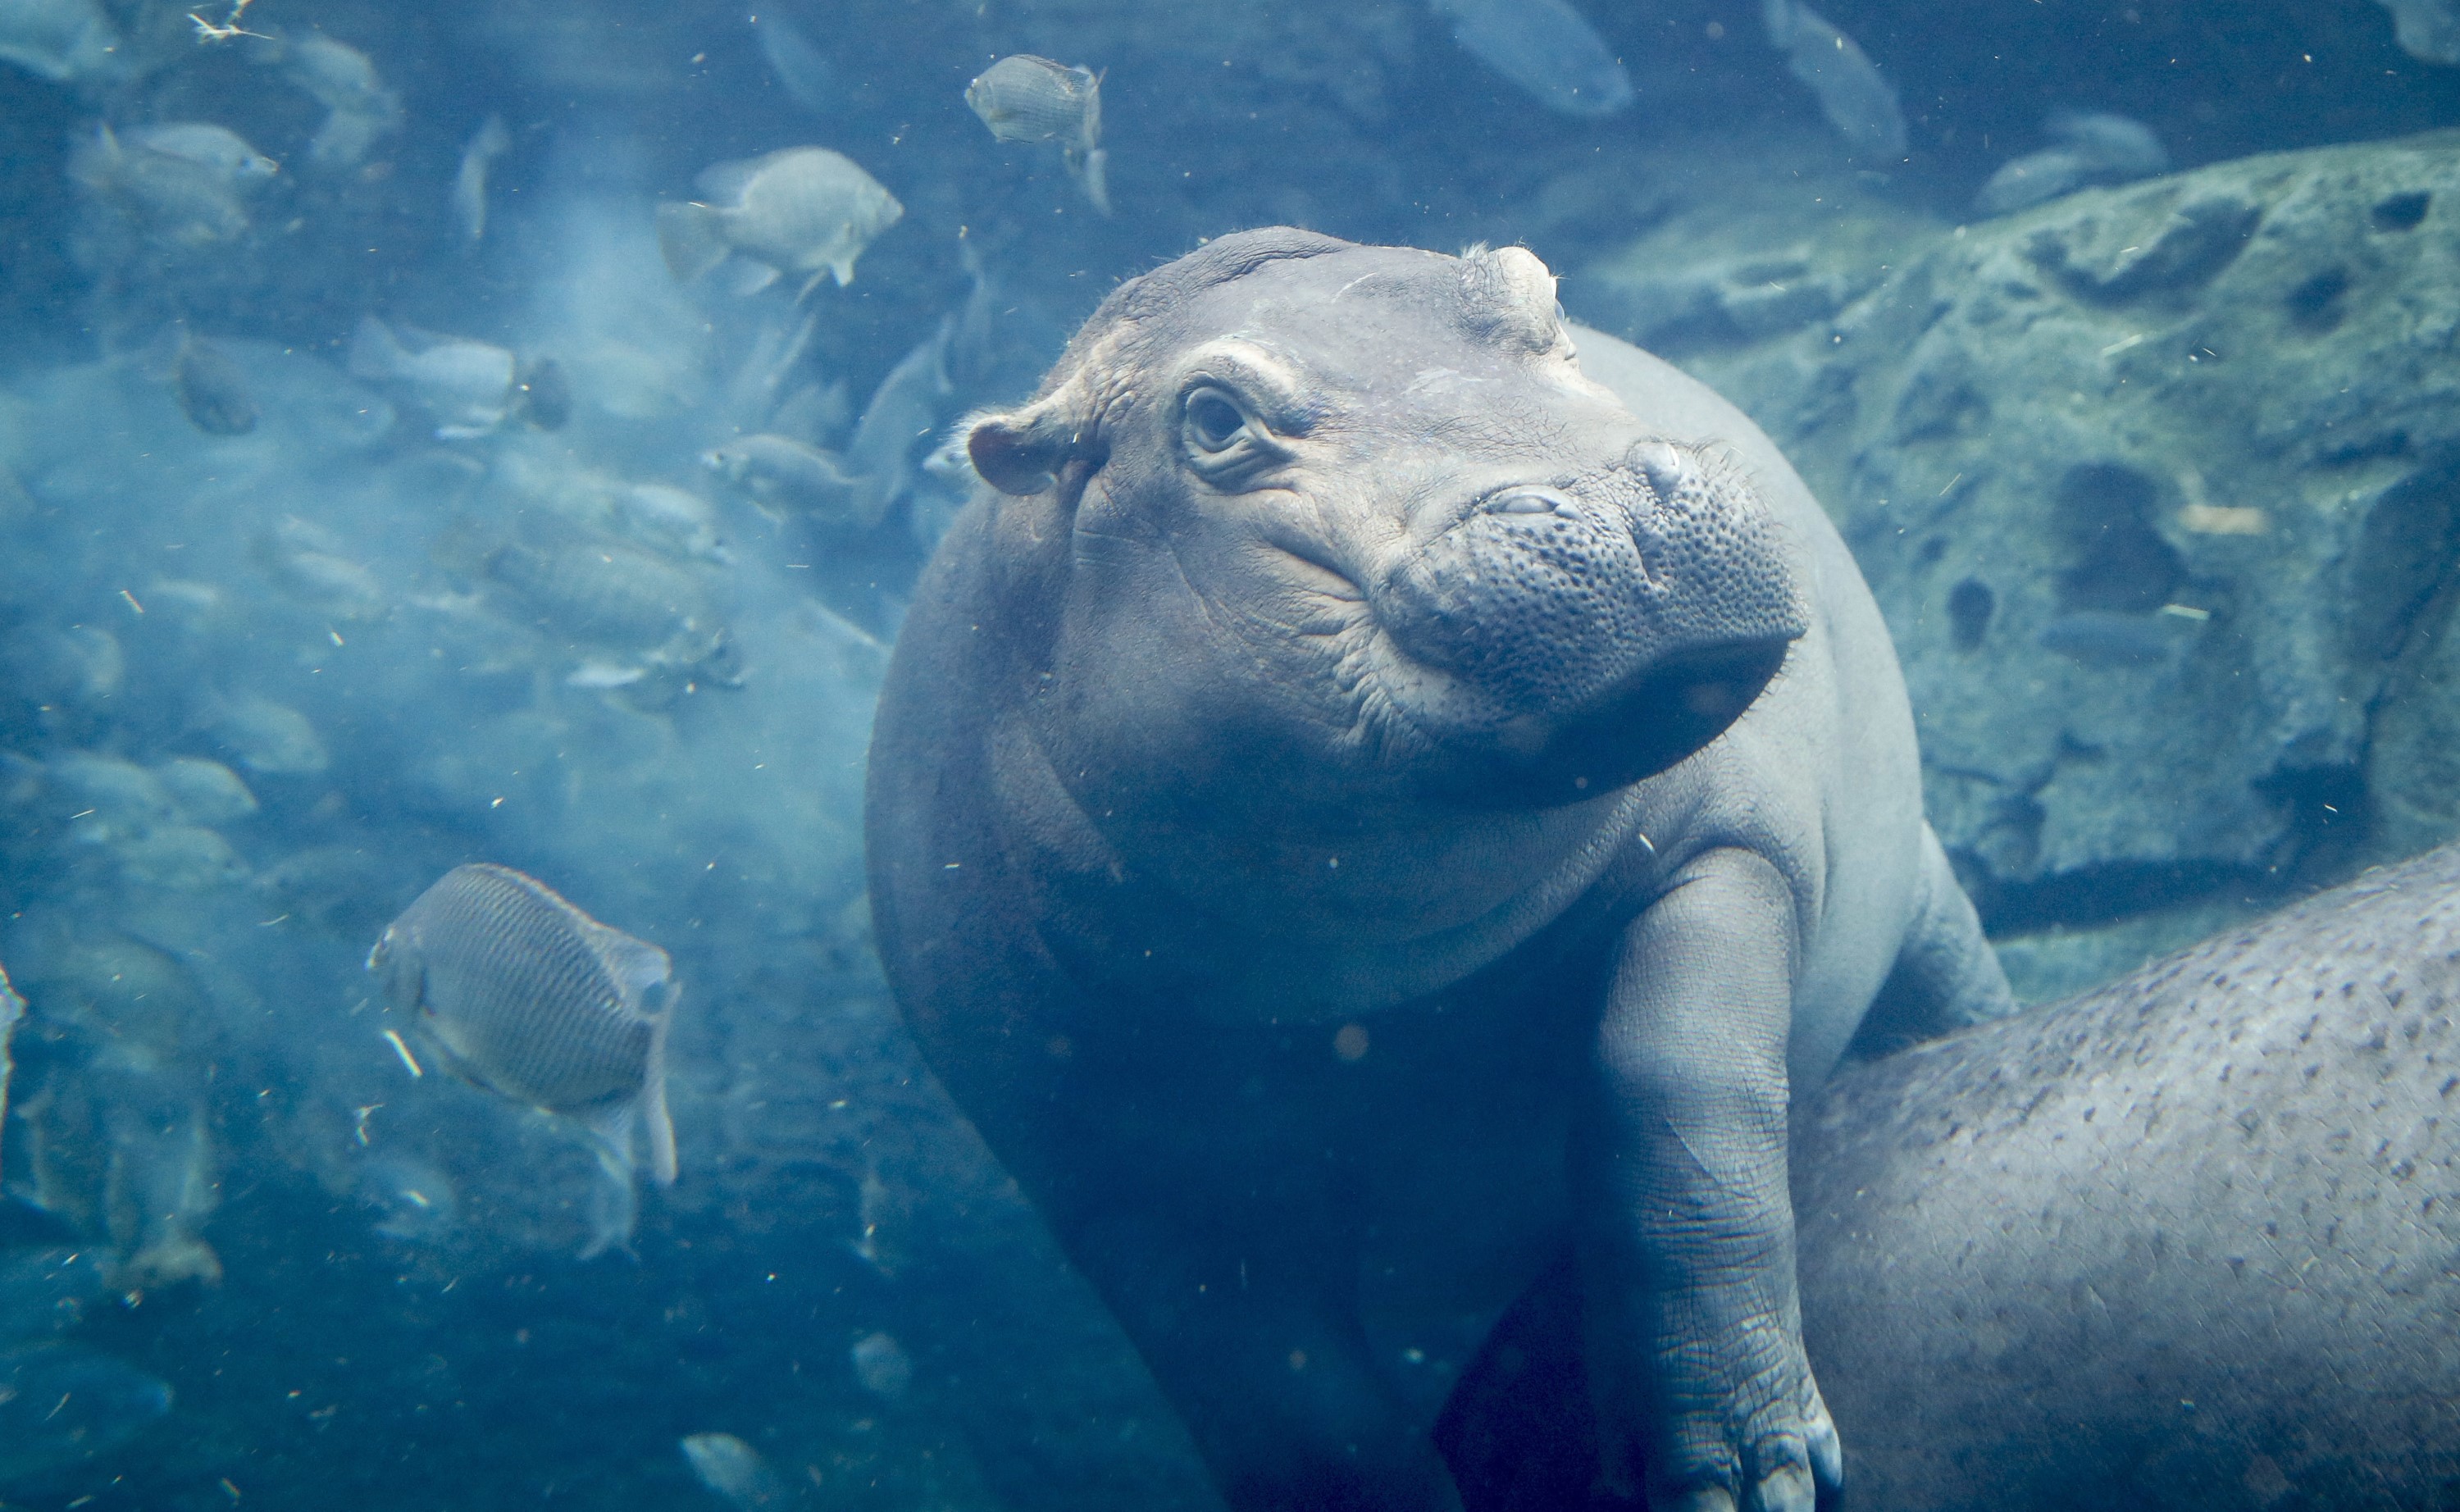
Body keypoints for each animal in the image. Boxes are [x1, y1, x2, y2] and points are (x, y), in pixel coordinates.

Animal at [856, 225, 2007, 1512]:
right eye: (1211, 418)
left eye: (1538, 291)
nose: (1614, 508)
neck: (1378, 970)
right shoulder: (1110, 1180)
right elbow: (1301, 1413)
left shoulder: (1731, 846)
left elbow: (1679, 1104)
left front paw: (1750, 1475)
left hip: (1919, 887)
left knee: (1946, 976)